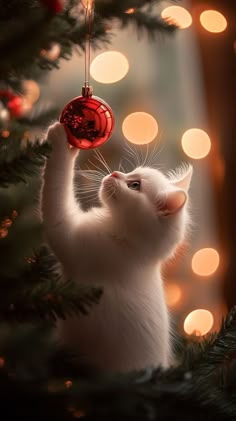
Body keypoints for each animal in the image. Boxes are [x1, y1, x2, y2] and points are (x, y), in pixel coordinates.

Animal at [41, 123, 192, 372]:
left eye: (134, 185)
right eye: (132, 173)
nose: (114, 174)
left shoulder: (68, 237)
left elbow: (56, 183)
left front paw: (60, 138)